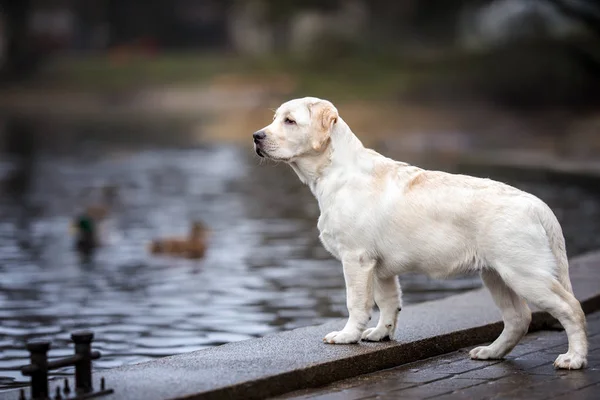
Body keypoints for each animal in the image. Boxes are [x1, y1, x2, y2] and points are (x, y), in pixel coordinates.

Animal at [252, 96, 584, 368]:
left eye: (290, 121)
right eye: (275, 118)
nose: (256, 136)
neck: (336, 171)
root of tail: (537, 204)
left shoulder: (356, 259)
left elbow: (356, 303)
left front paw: (347, 336)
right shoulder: (380, 267)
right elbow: (388, 303)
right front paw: (380, 334)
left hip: (525, 274)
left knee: (571, 309)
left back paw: (573, 359)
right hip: (496, 275)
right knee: (519, 318)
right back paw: (491, 352)